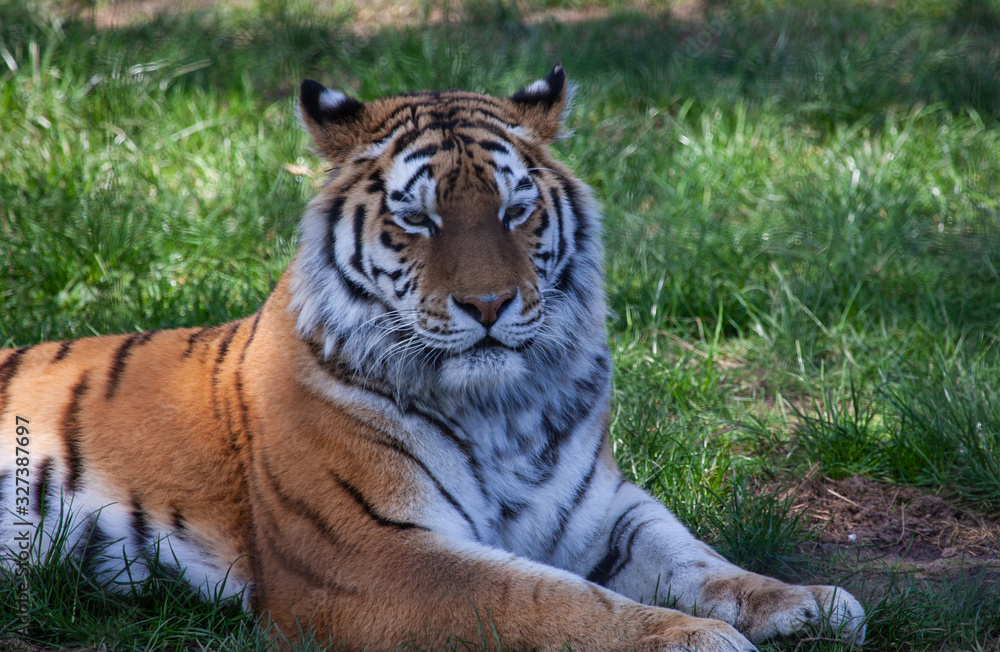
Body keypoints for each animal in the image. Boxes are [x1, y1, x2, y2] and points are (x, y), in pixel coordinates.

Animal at [0, 66, 866, 651]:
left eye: (515, 210)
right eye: (417, 219)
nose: (488, 305)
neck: (503, 409)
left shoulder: (599, 510)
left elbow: (697, 558)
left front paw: (807, 601)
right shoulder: (371, 555)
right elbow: (547, 600)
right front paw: (692, 637)